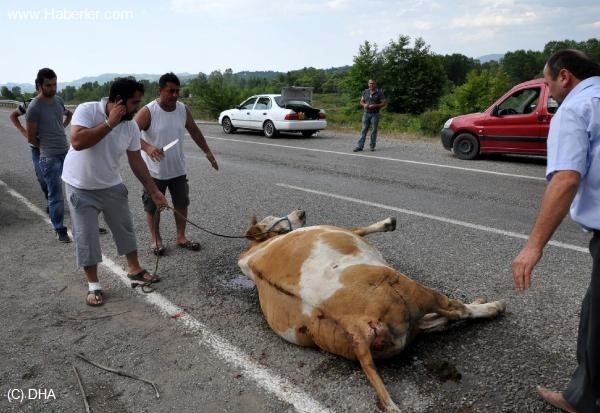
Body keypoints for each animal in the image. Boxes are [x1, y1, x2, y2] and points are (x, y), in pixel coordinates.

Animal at [237, 211, 504, 410]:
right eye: (274, 218)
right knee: (457, 310)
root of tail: (355, 325)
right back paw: (490, 307)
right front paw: (387, 223)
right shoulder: (348, 231)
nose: (302, 213)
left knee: (433, 323)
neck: (255, 249)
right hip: (409, 289)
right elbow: (361, 228)